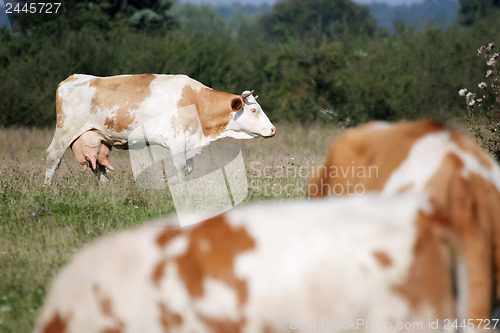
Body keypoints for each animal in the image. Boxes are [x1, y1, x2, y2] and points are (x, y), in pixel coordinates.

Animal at [44, 73, 276, 185]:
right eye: (254, 110)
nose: (273, 130)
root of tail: (72, 78)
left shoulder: (188, 142)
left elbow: (188, 168)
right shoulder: (176, 140)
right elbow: (181, 167)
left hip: (96, 137)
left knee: (97, 163)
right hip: (65, 130)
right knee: (53, 157)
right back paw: (47, 190)